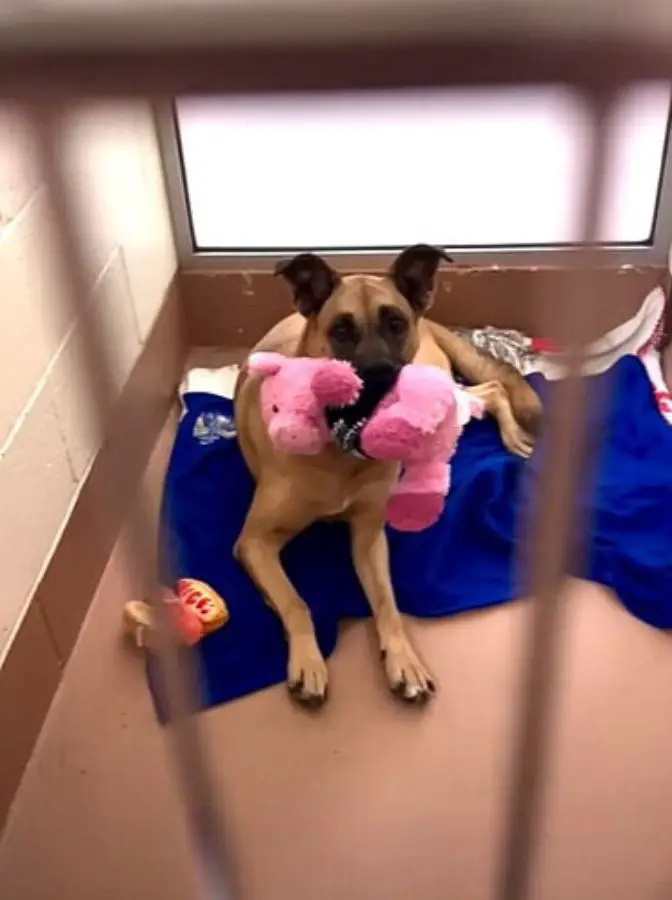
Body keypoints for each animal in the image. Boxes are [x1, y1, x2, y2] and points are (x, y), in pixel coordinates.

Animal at [235, 243, 540, 708]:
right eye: (341, 331)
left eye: (395, 324)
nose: (380, 379)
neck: (341, 447)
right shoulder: (254, 543)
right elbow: (295, 601)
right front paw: (307, 659)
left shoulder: (368, 536)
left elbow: (387, 603)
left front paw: (403, 658)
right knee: (484, 394)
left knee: (490, 391)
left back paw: (506, 435)